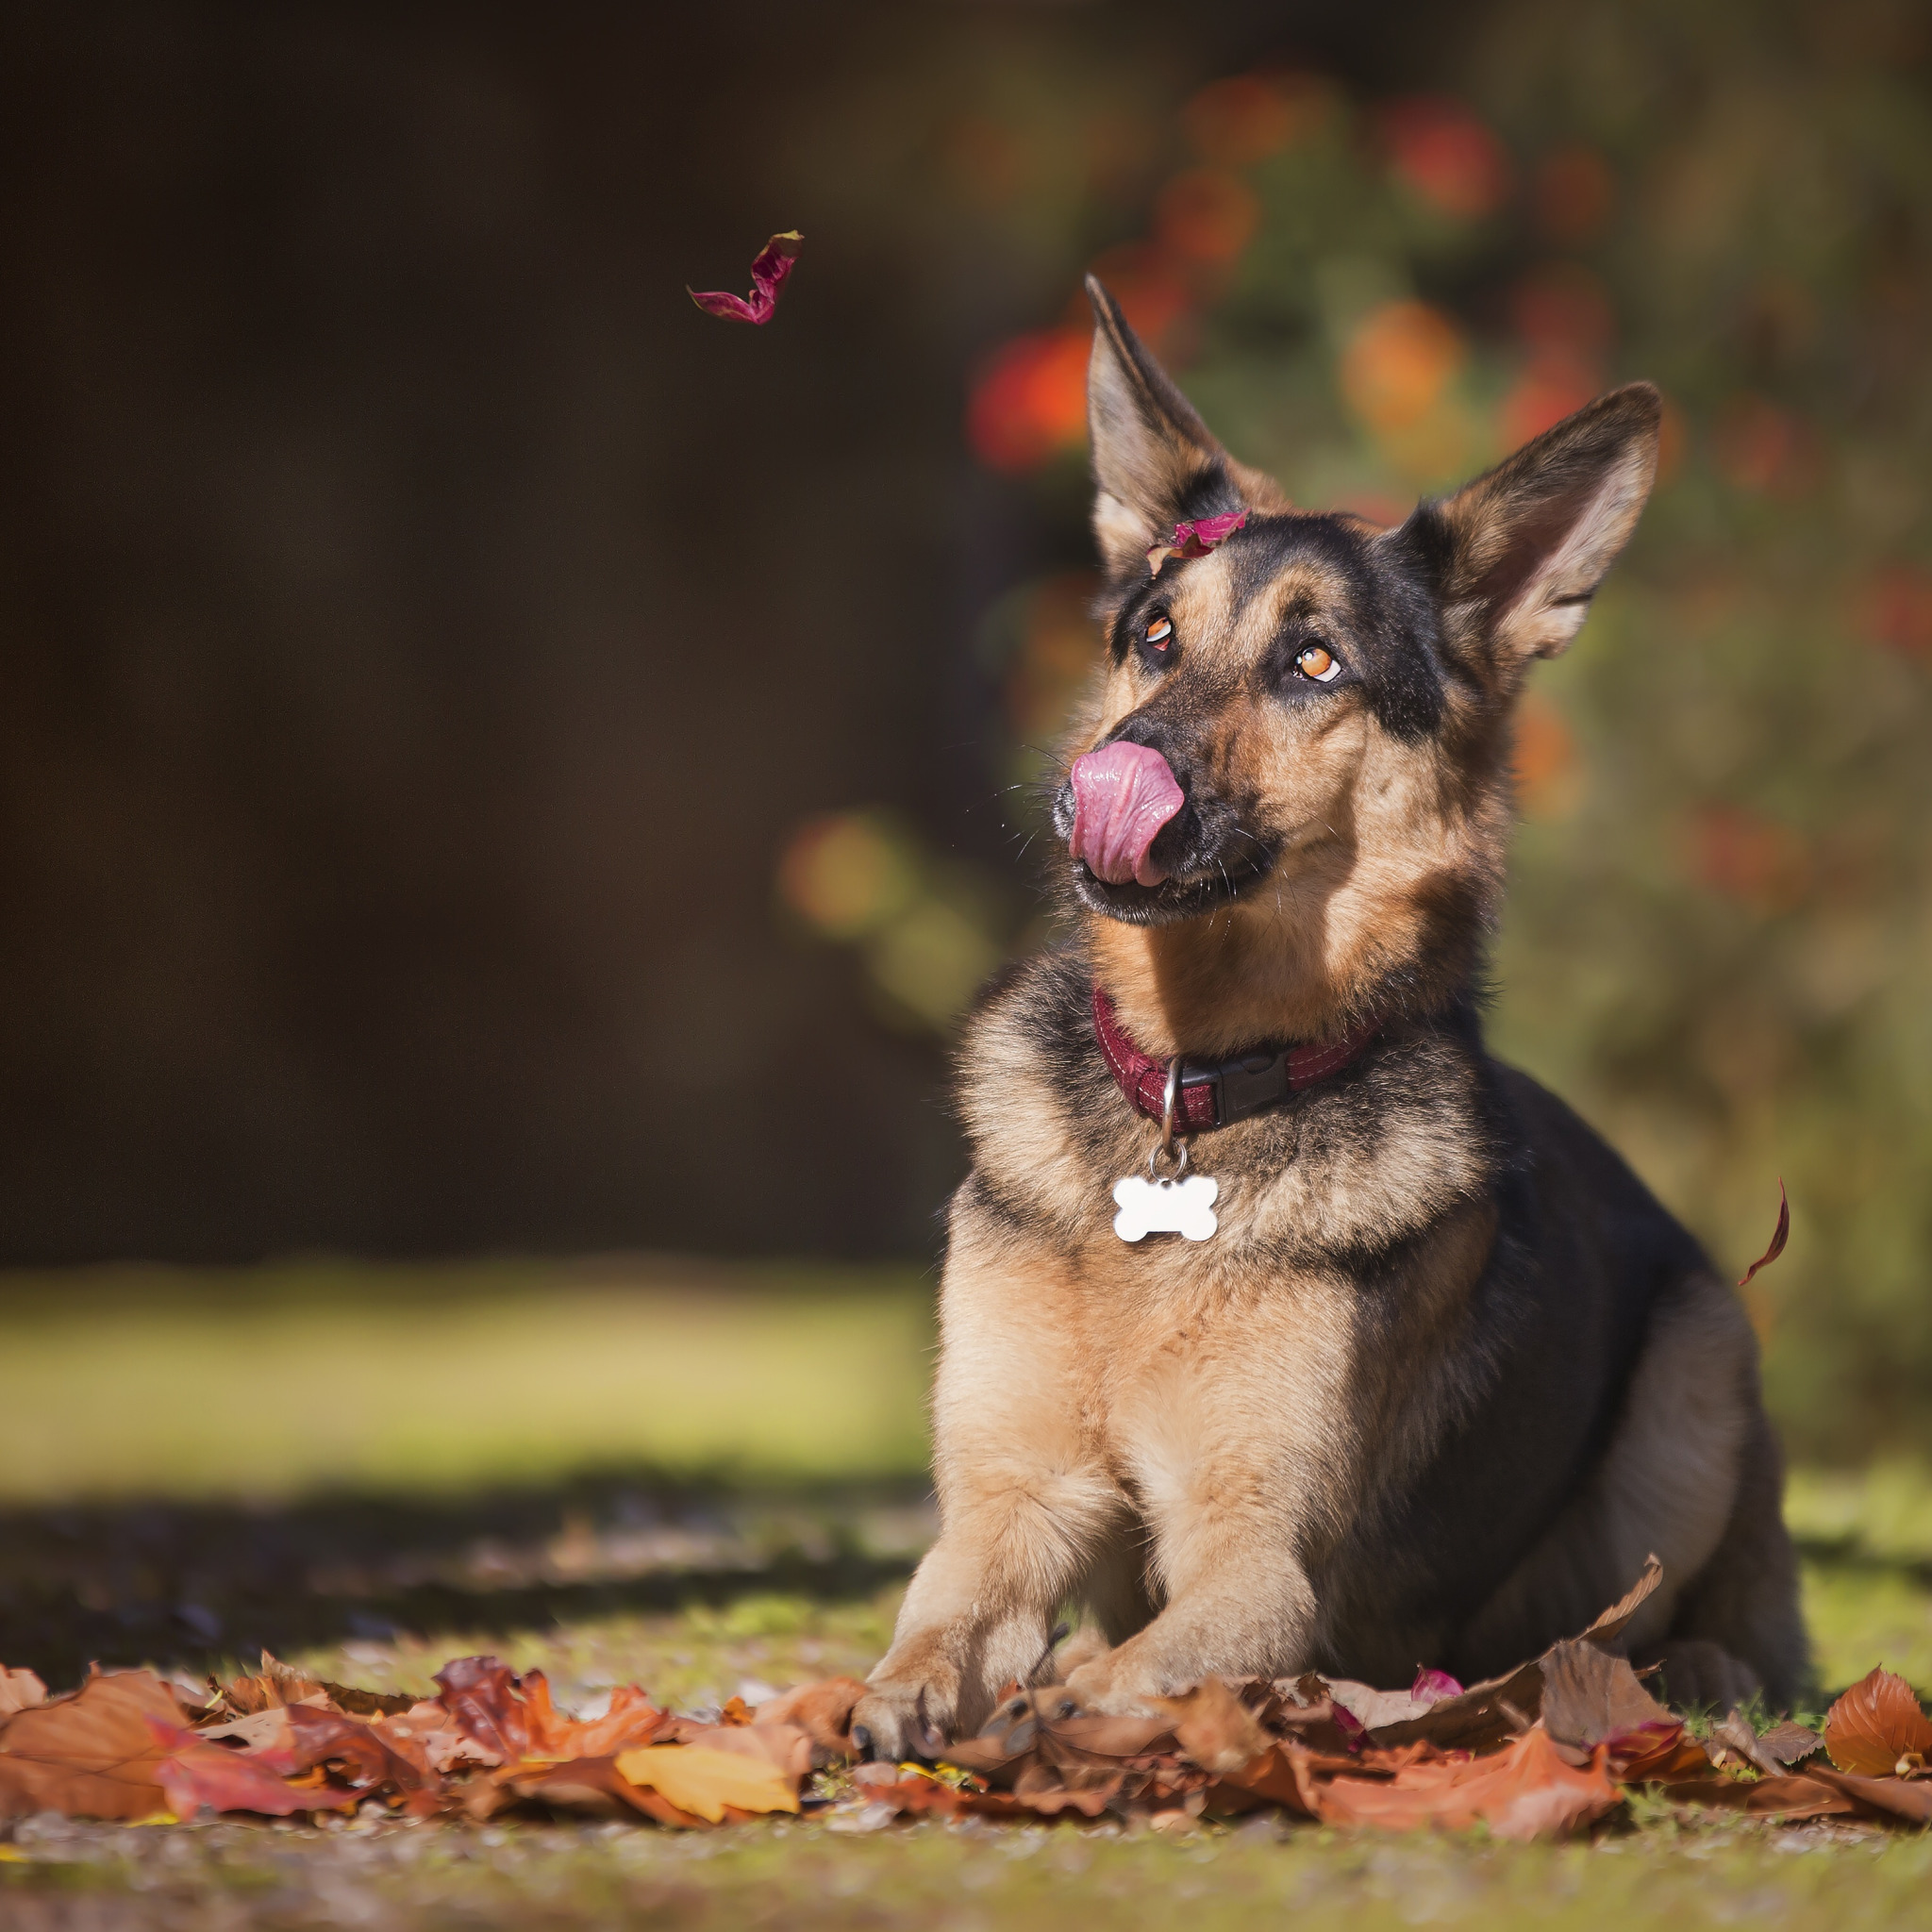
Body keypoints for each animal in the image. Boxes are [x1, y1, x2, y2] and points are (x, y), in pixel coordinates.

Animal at [854, 279, 1800, 1761]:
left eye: (1312, 661)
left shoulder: (1257, 1560)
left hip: (1693, 1380)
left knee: (1704, 1623)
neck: (1195, 1086)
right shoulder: (1017, 1495)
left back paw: (1692, 1669)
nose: (1102, 781)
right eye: (1155, 638)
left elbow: (1150, 1662)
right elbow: (942, 1617)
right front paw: (907, 1690)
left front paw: (1067, 1704)